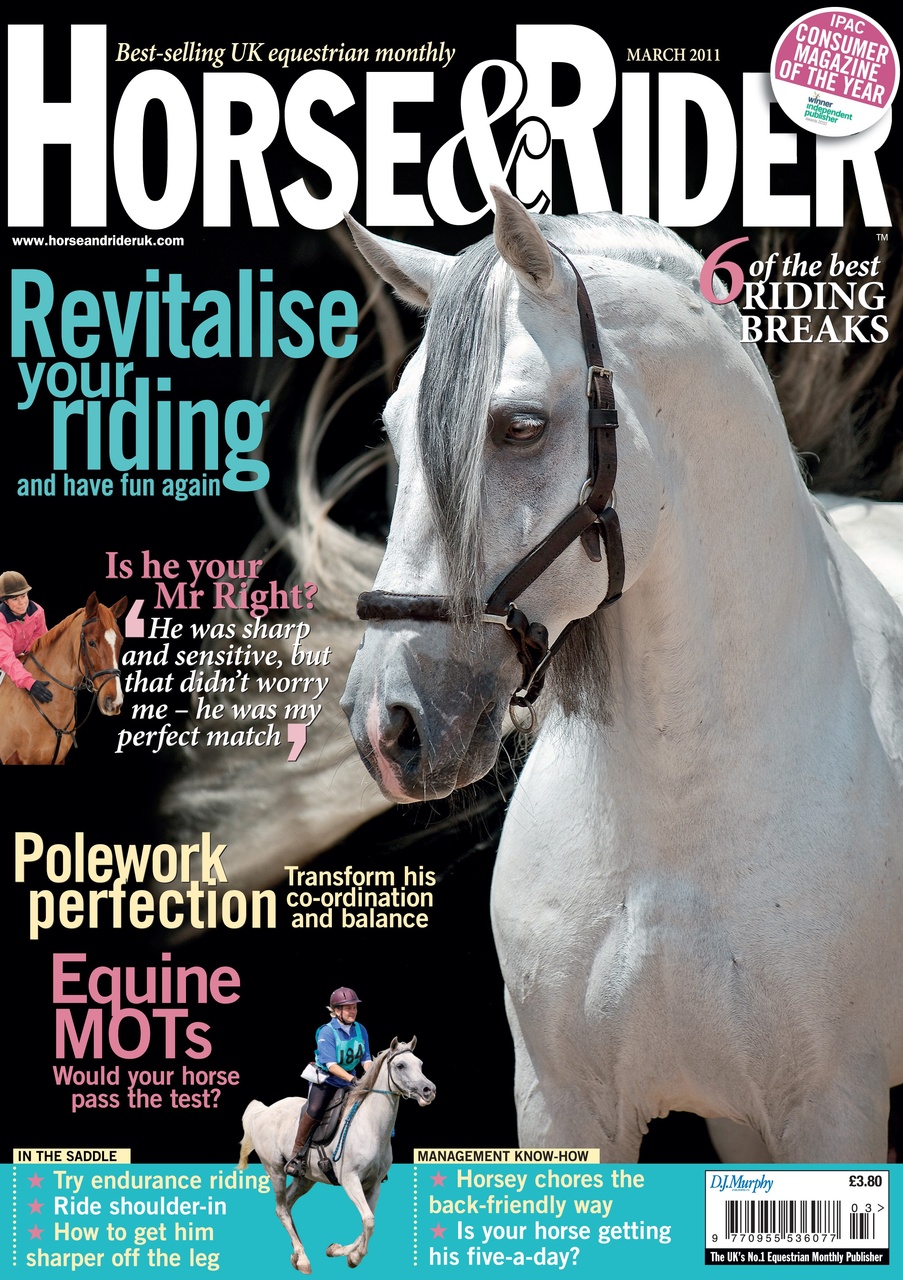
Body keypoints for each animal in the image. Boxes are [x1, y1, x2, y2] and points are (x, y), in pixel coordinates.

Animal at [238, 1039, 435, 1271]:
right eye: (401, 1065)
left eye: (420, 1064)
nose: (429, 1090)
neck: (371, 1126)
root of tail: (264, 1112)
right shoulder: (350, 1180)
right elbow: (369, 1221)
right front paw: (353, 1257)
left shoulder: (374, 1184)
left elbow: (368, 1221)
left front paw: (338, 1250)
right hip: (275, 1170)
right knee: (281, 1209)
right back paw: (303, 1260)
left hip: (305, 1179)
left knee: (287, 1202)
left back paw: (296, 1255)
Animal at [340, 189, 903, 1162]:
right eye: (393, 433)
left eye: (520, 426)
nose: (388, 727)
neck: (677, 806)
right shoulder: (563, 1105)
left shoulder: (834, 1110)